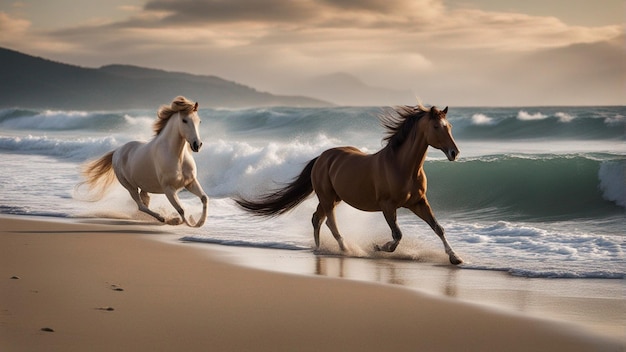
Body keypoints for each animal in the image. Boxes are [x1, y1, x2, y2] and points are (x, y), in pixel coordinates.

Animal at [79, 96, 207, 227]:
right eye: (184, 120)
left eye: (199, 121)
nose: (197, 145)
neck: (177, 156)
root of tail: (117, 151)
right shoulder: (169, 189)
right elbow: (181, 209)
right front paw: (183, 222)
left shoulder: (190, 183)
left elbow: (204, 198)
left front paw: (199, 222)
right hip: (130, 186)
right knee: (141, 205)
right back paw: (161, 218)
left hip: (143, 184)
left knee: (145, 199)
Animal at [236, 104, 460, 264]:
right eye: (436, 127)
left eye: (449, 127)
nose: (454, 153)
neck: (402, 167)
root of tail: (322, 157)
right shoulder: (388, 206)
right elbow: (397, 235)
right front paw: (376, 247)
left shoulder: (418, 202)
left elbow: (438, 228)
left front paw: (455, 257)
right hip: (327, 198)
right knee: (329, 223)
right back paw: (347, 249)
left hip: (334, 198)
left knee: (317, 219)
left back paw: (320, 249)